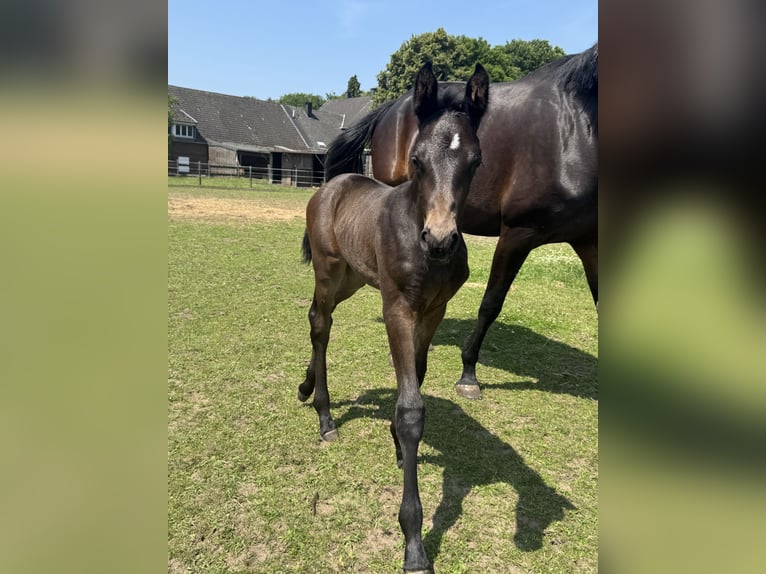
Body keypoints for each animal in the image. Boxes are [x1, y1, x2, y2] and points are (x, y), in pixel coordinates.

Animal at [299, 61, 489, 573]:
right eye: (417, 160)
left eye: (476, 162)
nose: (440, 239)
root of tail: (331, 186)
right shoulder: (397, 310)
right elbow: (410, 408)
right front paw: (414, 543)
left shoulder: (433, 311)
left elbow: (416, 378)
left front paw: (399, 445)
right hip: (329, 272)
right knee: (320, 324)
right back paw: (324, 416)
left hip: (352, 278)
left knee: (315, 317)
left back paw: (305, 387)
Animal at [325, 44, 598, 400]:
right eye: (417, 159)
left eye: (477, 162)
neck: (577, 128)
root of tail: (392, 106)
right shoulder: (518, 233)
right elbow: (491, 303)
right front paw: (468, 373)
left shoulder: (589, 240)